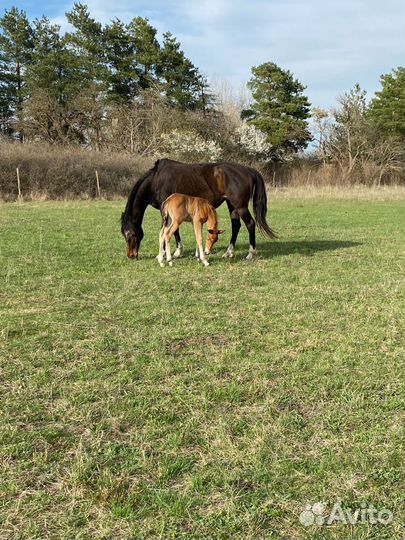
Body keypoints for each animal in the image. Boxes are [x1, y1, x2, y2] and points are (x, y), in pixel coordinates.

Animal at [121, 158, 276, 260]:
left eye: (131, 234)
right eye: (124, 234)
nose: (131, 255)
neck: (156, 181)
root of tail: (248, 170)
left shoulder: (165, 211)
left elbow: (168, 230)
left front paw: (167, 253)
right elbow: (173, 230)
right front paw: (176, 251)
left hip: (240, 206)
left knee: (250, 224)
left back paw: (250, 253)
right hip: (231, 205)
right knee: (236, 226)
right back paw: (228, 252)